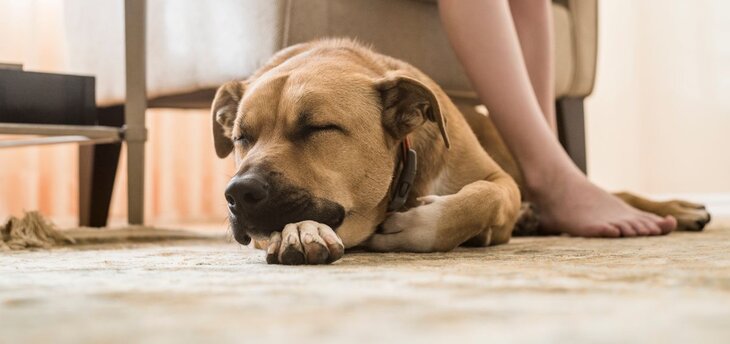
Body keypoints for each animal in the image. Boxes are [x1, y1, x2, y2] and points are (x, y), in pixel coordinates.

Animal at [210, 39, 712, 264]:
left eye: (319, 127)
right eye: (240, 137)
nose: (238, 193)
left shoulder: (499, 182)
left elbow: (477, 199)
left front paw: (419, 227)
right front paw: (300, 232)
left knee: (613, 193)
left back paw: (678, 210)